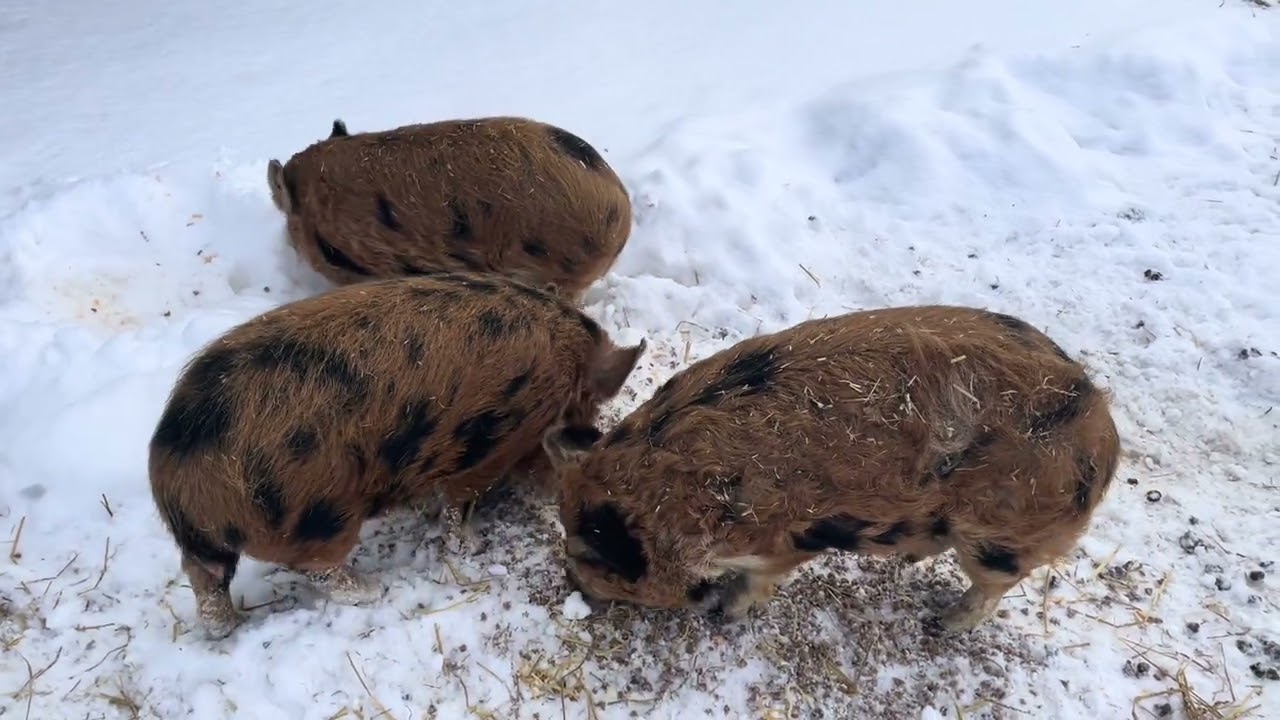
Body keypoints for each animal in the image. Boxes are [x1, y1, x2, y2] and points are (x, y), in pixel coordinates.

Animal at [148, 272, 645, 639]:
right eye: (584, 412)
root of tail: (173, 473)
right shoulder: (487, 451)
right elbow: (457, 509)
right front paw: (472, 544)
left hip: (223, 544)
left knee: (205, 576)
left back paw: (226, 627)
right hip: (318, 513)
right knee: (314, 568)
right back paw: (370, 590)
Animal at [540, 305, 1120, 635]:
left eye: (588, 555)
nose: (574, 587)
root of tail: (1105, 436)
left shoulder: (782, 543)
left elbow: (756, 584)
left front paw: (726, 615)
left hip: (1000, 536)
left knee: (994, 588)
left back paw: (940, 625)